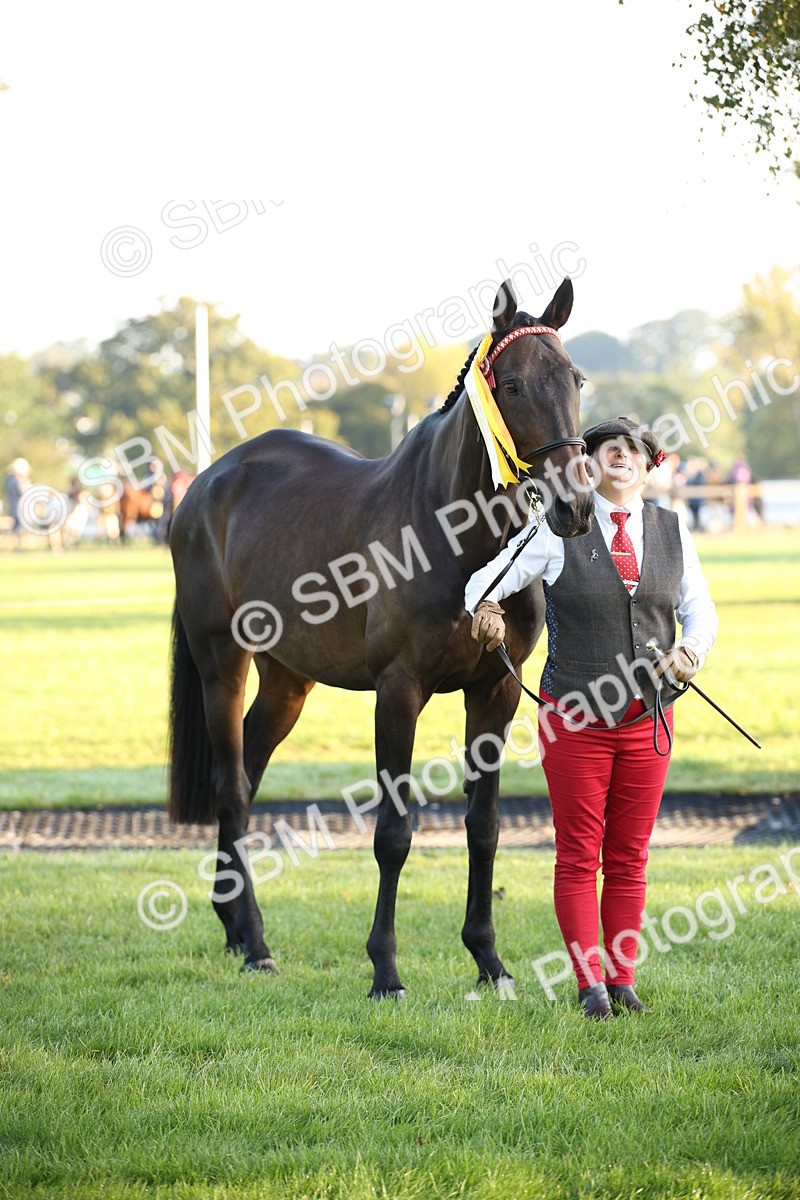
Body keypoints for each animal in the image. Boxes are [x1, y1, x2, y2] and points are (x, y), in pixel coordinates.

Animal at [168, 277, 594, 997]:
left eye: (575, 378)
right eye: (510, 385)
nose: (577, 505)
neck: (456, 534)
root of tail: (204, 485)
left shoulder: (495, 691)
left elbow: (484, 825)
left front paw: (488, 959)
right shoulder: (398, 692)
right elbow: (394, 833)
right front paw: (386, 969)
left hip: (288, 681)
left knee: (248, 773)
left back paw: (234, 926)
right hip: (222, 663)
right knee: (231, 788)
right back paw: (257, 943)